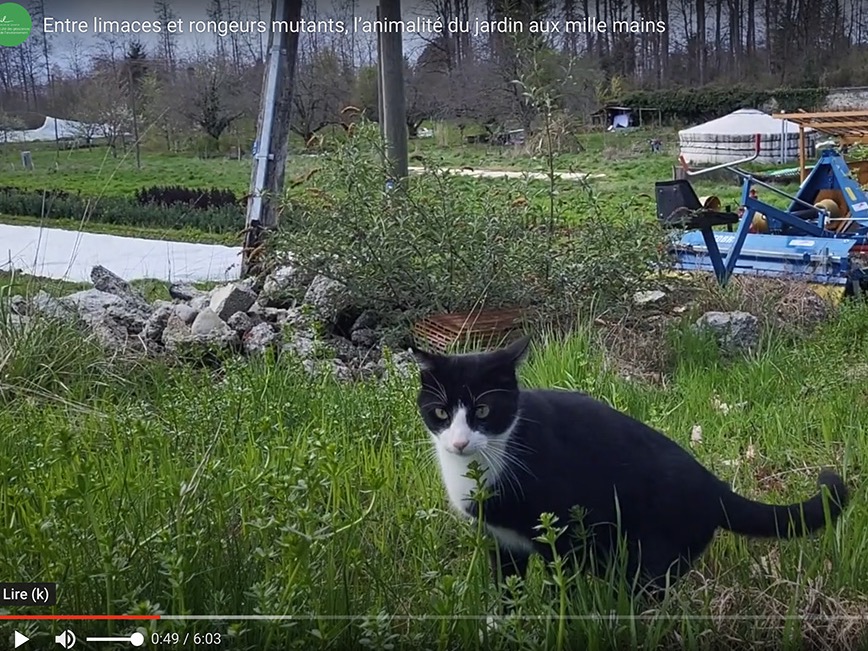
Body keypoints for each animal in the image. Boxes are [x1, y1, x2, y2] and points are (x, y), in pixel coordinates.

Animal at [412, 338, 848, 600]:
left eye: (484, 411)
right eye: (441, 413)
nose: (459, 442)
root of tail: (714, 486)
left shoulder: (564, 533)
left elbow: (560, 587)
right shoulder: (503, 542)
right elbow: (508, 589)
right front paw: (504, 627)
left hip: (648, 555)